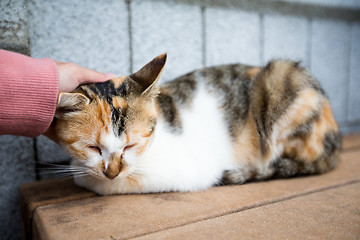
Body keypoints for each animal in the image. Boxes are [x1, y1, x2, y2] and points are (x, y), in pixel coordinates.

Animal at [54, 54, 342, 195]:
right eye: (92, 147)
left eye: (130, 146)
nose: (111, 172)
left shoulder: (189, 170)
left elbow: (117, 182)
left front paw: (90, 179)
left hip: (283, 79)